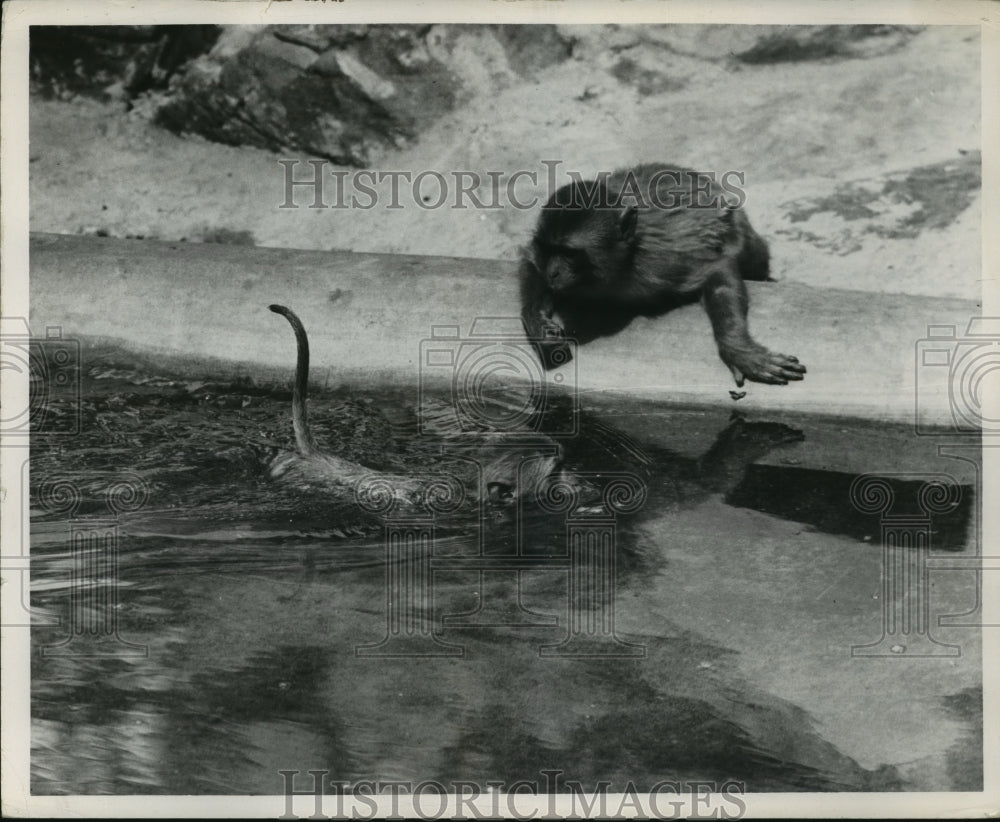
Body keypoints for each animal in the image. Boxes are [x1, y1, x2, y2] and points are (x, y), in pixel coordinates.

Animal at [520, 166, 808, 392]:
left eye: (569, 253)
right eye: (547, 249)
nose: (553, 272)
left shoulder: (661, 262)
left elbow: (718, 270)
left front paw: (738, 350)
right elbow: (530, 263)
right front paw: (539, 325)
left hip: (737, 223)